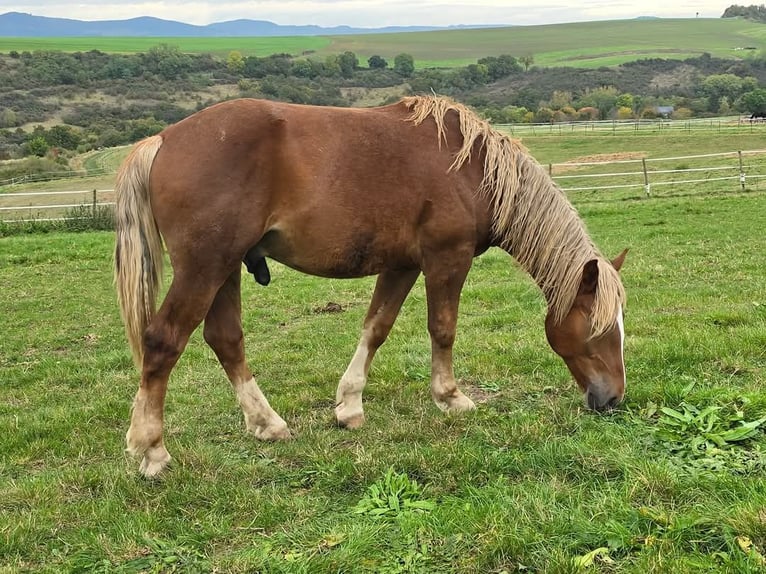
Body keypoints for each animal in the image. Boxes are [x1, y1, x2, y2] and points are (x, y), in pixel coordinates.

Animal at [115, 97, 632, 480]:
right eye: (600, 329)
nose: (613, 399)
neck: (473, 167)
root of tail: (162, 140)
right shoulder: (447, 258)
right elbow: (443, 328)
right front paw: (451, 398)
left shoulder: (401, 266)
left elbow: (376, 328)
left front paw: (349, 406)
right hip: (205, 267)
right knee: (163, 342)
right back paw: (152, 451)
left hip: (223, 271)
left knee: (224, 339)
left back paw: (266, 424)